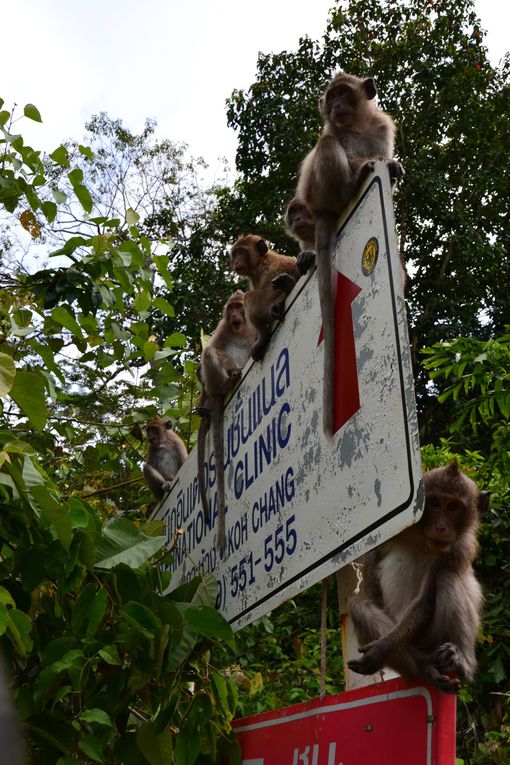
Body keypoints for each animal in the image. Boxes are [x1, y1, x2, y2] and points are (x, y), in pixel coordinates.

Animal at [230, 234, 298, 362]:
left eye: (242, 252)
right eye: (235, 254)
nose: (236, 261)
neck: (261, 261)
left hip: (266, 306)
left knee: (249, 297)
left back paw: (264, 335)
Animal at [294, 73, 402, 436]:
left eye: (343, 93)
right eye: (331, 97)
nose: (337, 104)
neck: (357, 123)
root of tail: (321, 212)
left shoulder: (382, 127)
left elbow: (385, 154)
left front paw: (392, 168)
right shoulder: (338, 131)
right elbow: (333, 140)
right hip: (321, 192)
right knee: (326, 145)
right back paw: (352, 182)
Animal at [346, 460, 486, 692]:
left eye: (453, 507)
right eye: (435, 503)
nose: (441, 527)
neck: (422, 537)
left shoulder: (460, 546)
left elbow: (425, 600)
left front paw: (380, 649)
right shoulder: (389, 531)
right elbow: (371, 596)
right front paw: (382, 649)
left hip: (434, 639)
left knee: (447, 577)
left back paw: (460, 661)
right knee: (358, 606)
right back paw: (423, 667)